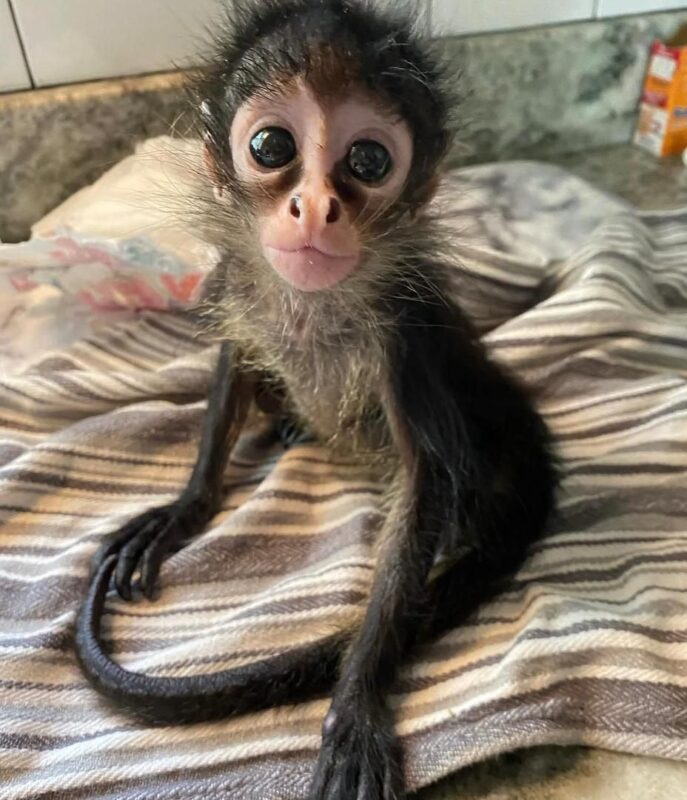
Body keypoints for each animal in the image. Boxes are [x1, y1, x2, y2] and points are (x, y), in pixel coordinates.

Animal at [74, 1, 557, 798]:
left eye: (368, 161)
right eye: (271, 146)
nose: (316, 207)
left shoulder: (404, 329)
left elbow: (425, 483)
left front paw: (357, 695)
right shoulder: (234, 280)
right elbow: (234, 362)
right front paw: (185, 509)